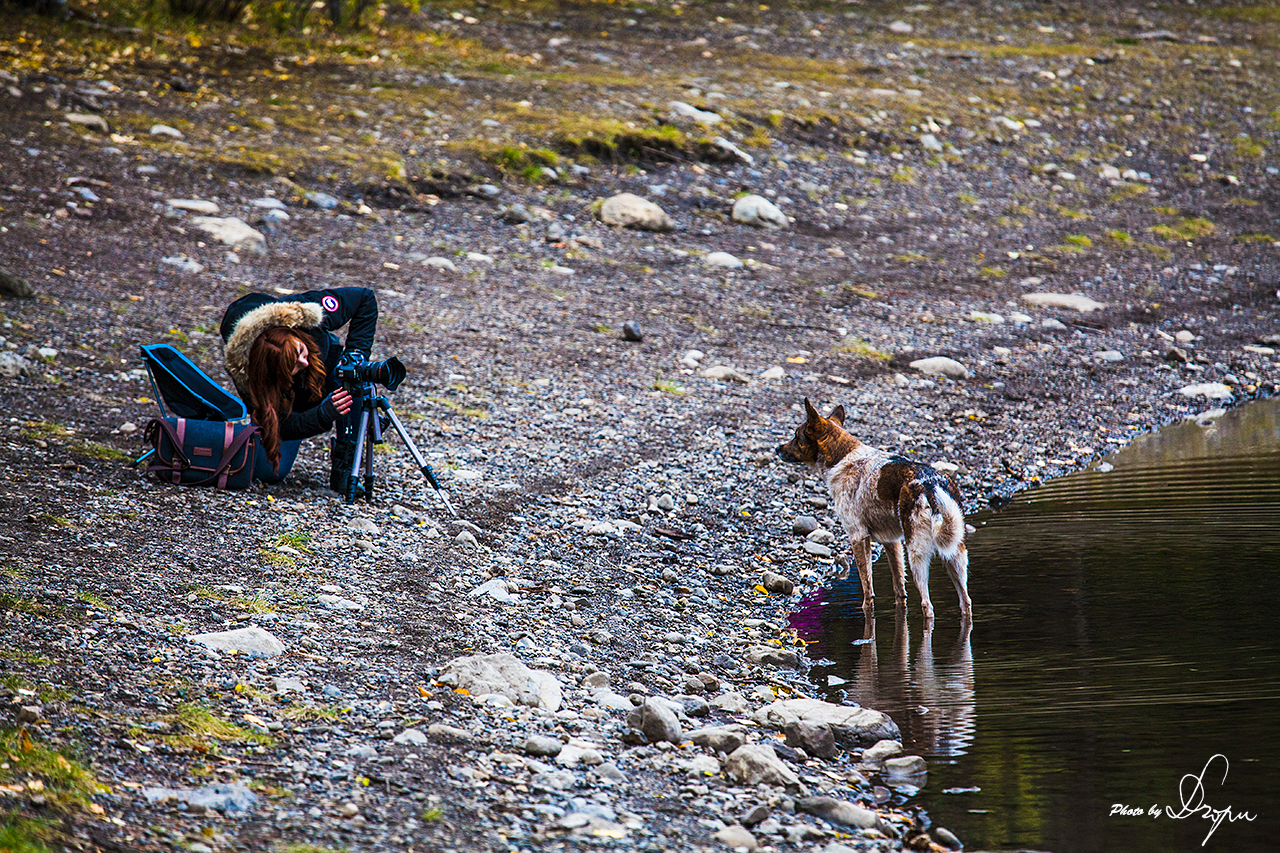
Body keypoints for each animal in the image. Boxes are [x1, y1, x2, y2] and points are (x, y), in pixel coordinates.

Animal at [778, 394, 967, 622]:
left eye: (796, 435)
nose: (777, 449)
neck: (842, 457)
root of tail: (932, 485)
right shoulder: (892, 541)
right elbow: (899, 589)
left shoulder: (858, 536)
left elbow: (867, 586)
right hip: (955, 555)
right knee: (966, 602)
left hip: (917, 554)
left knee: (927, 606)